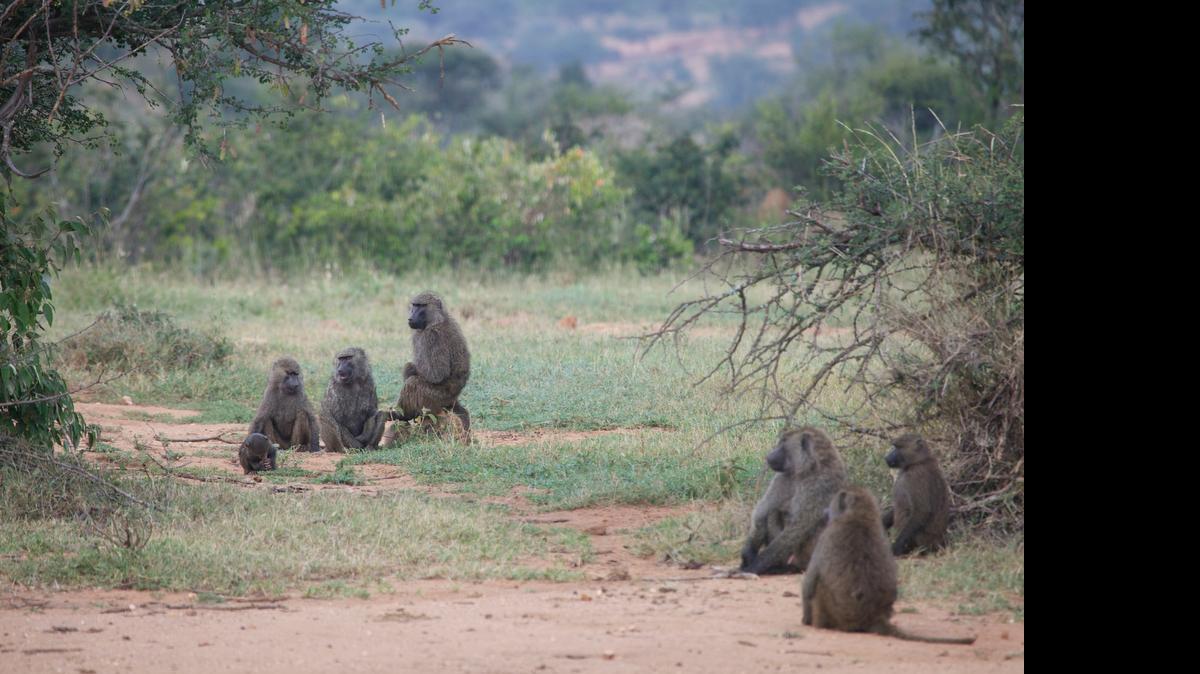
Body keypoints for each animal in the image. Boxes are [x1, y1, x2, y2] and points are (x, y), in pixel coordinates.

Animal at [388, 292, 471, 434]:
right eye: (414, 305)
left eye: (421, 306)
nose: (411, 317)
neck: (435, 321)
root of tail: (451, 400)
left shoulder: (432, 337)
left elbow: (436, 374)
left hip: (436, 398)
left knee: (412, 383)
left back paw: (403, 415)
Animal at [739, 427, 847, 575]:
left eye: (783, 443)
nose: (768, 456)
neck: (808, 468)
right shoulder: (783, 477)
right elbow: (762, 512)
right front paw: (748, 555)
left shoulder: (819, 486)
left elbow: (798, 527)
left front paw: (755, 565)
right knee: (773, 512)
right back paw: (778, 566)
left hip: (806, 555)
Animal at [802, 486, 976, 644]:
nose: (825, 513)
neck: (859, 516)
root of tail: (874, 616)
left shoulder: (825, 537)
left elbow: (809, 583)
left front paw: (805, 619)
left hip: (841, 615)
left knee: (819, 586)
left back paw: (819, 624)